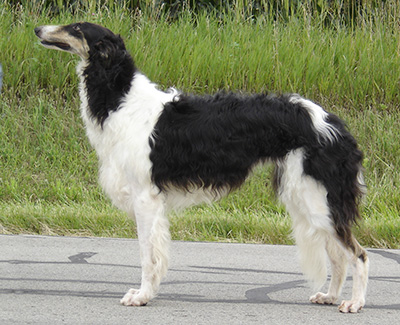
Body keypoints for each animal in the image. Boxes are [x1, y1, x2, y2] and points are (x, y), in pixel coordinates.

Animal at [34, 22, 368, 312]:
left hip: (315, 199)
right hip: (311, 199)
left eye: (76, 28)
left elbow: (147, 256)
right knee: (339, 256)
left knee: (359, 255)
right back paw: (330, 296)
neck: (123, 101)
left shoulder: (145, 198)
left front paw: (142, 296)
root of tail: (333, 123)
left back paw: (354, 303)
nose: (38, 29)